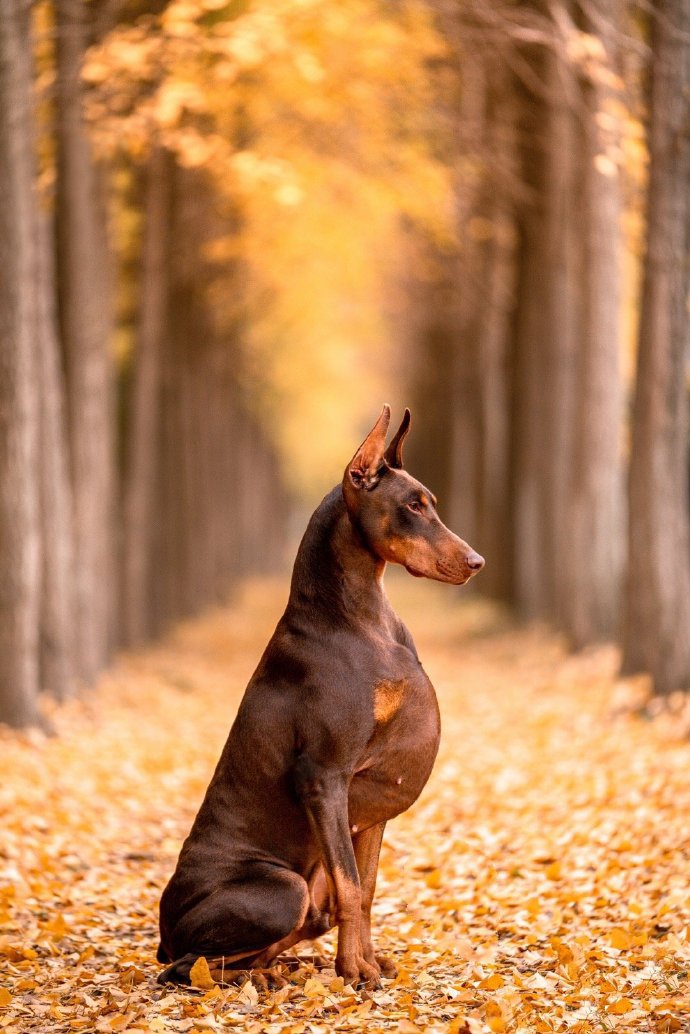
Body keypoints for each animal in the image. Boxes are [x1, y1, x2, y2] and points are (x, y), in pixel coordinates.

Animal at [156, 403, 484, 984]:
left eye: (432, 504)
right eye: (412, 506)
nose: (476, 562)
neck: (359, 613)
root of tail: (162, 932)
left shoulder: (370, 797)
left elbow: (365, 888)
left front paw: (363, 962)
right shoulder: (324, 776)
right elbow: (352, 888)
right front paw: (355, 972)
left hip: (307, 882)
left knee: (306, 920)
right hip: (282, 886)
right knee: (186, 967)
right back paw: (257, 976)